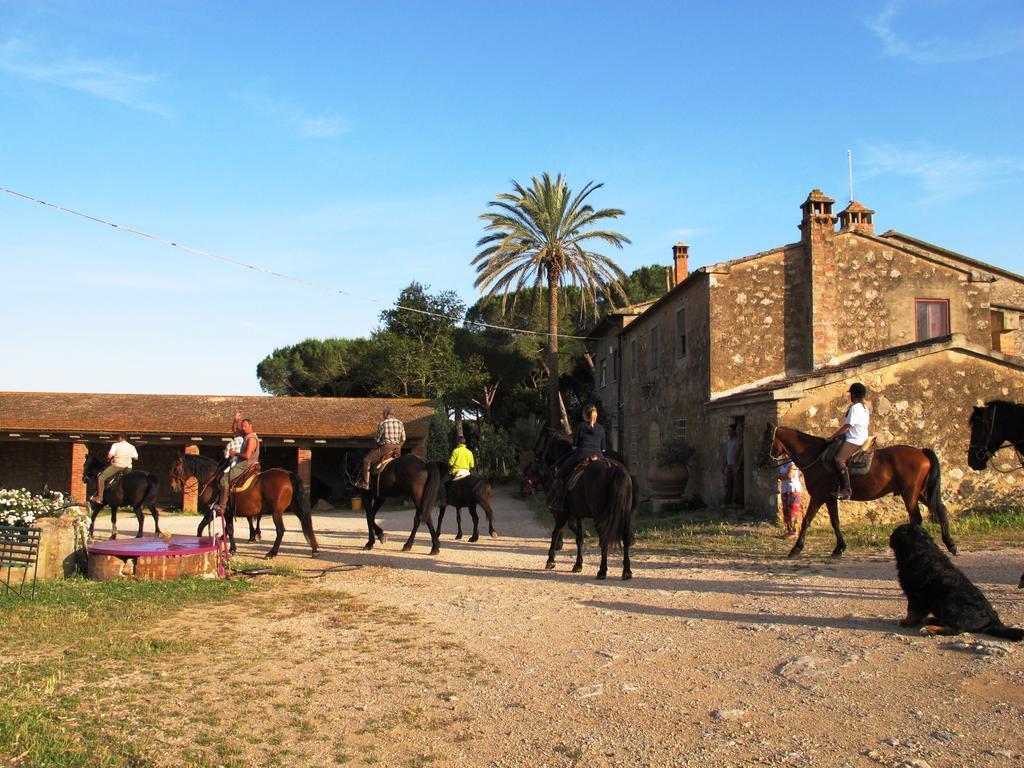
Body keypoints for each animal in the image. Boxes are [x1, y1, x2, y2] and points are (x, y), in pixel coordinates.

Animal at [532, 434, 634, 577]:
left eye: (546, 445)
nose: (539, 457)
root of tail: (612, 467)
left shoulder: (563, 513)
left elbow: (556, 532)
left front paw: (551, 560)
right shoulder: (579, 515)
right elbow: (579, 538)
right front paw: (578, 564)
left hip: (599, 515)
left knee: (604, 538)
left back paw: (602, 571)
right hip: (624, 514)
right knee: (624, 537)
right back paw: (626, 571)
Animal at [765, 428, 954, 561]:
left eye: (767, 438)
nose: (764, 460)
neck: (816, 457)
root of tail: (922, 452)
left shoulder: (818, 497)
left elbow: (806, 521)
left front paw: (796, 549)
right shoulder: (830, 498)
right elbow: (835, 522)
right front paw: (839, 548)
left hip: (910, 494)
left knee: (917, 518)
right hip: (920, 493)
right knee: (941, 510)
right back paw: (950, 544)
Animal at [888, 524, 1024, 643]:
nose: (890, 537)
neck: (922, 549)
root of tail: (992, 619)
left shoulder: (915, 595)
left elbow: (912, 611)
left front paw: (906, 622)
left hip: (951, 603)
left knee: (956, 629)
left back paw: (930, 629)